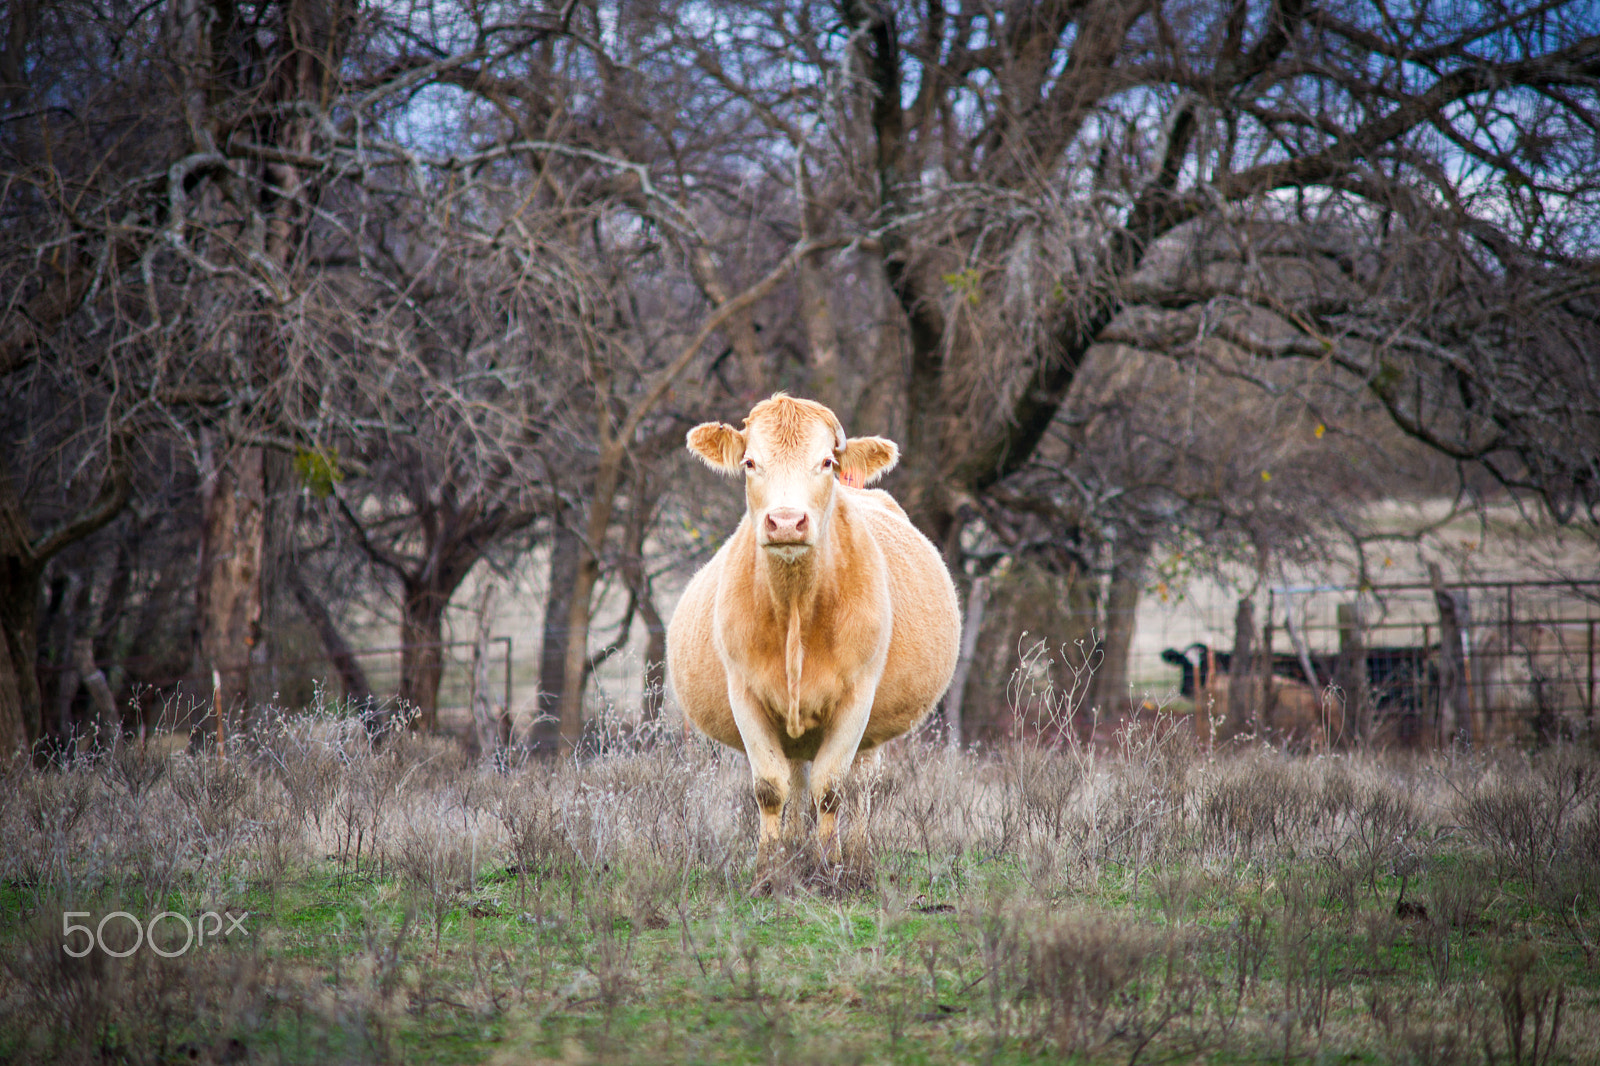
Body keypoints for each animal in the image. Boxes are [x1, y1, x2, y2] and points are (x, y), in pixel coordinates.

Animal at [665, 393, 953, 883]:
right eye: (749, 462)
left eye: (825, 462)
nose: (785, 522)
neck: (796, 610)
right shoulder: (744, 692)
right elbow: (770, 788)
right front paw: (768, 870)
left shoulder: (858, 697)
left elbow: (832, 788)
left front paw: (832, 868)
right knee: (797, 775)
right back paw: (796, 848)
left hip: (873, 730)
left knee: (860, 783)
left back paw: (856, 856)